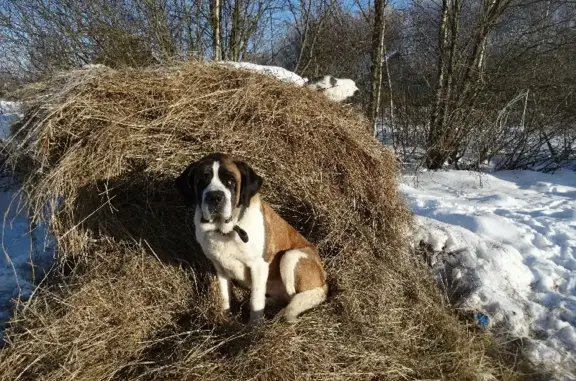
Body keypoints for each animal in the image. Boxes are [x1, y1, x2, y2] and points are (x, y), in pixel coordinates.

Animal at [176, 152, 326, 324]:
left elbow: (256, 301)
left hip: (290, 256)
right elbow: (225, 295)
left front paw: (254, 327)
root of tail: (323, 279)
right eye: (202, 181)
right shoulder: (219, 267)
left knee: (294, 297)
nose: (214, 197)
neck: (227, 231)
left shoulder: (258, 266)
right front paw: (225, 318)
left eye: (230, 181)